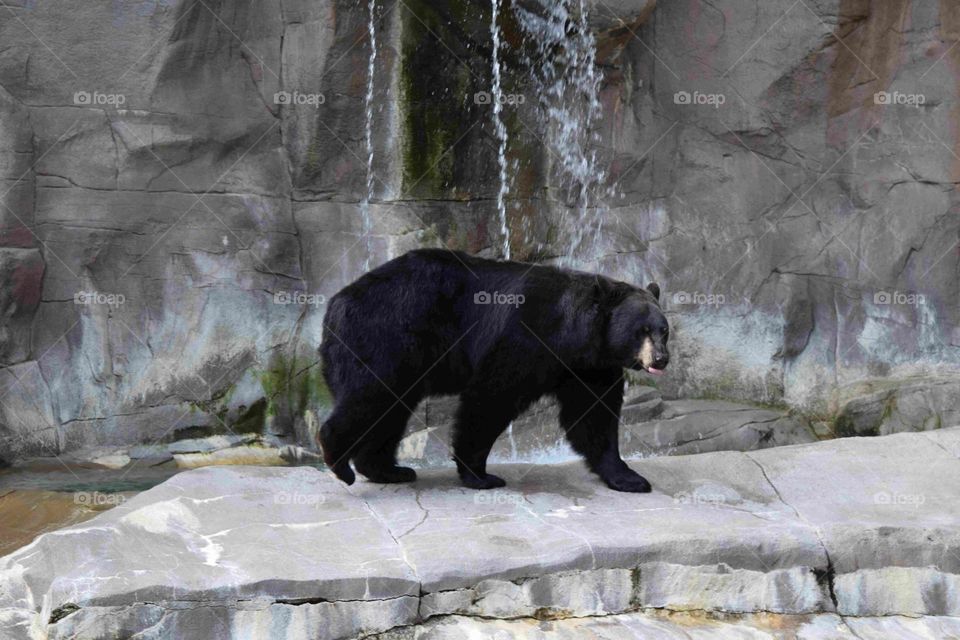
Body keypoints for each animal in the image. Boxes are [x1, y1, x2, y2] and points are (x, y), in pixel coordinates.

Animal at [318, 248, 670, 492]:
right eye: (641, 331)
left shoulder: (590, 366)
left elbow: (592, 417)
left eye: (663, 330)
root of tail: (336, 304)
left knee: (390, 409)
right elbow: (491, 397)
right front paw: (481, 475)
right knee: (372, 394)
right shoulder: (524, 337)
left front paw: (630, 478)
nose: (661, 359)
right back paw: (339, 459)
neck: (571, 335)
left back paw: (388, 470)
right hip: (387, 337)